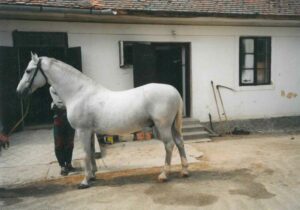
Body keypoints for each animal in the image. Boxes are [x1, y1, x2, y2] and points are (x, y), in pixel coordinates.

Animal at [16, 53, 189, 189]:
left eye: (28, 70)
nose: (19, 91)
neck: (79, 93)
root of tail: (174, 90)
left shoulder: (83, 131)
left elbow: (86, 154)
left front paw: (85, 181)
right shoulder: (91, 132)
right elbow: (92, 152)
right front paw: (93, 175)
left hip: (163, 126)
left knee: (169, 145)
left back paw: (164, 175)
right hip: (172, 126)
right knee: (180, 143)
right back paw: (184, 171)